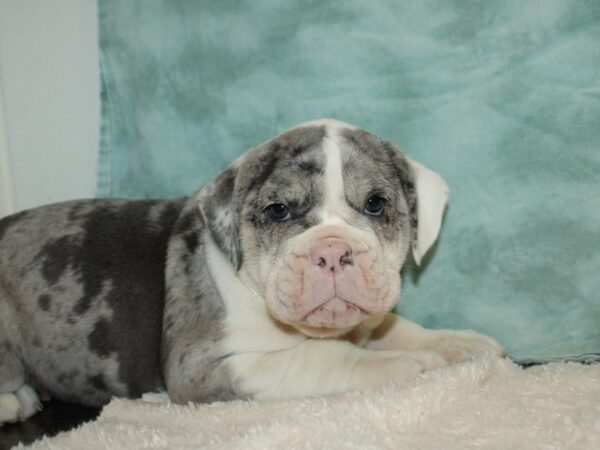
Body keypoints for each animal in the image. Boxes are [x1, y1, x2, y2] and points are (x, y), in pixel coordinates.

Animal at [0, 118, 502, 422]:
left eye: (376, 204)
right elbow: (324, 357)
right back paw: (18, 399)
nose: (332, 250)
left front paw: (458, 342)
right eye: (279, 211)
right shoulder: (213, 365)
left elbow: (394, 328)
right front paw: (409, 363)